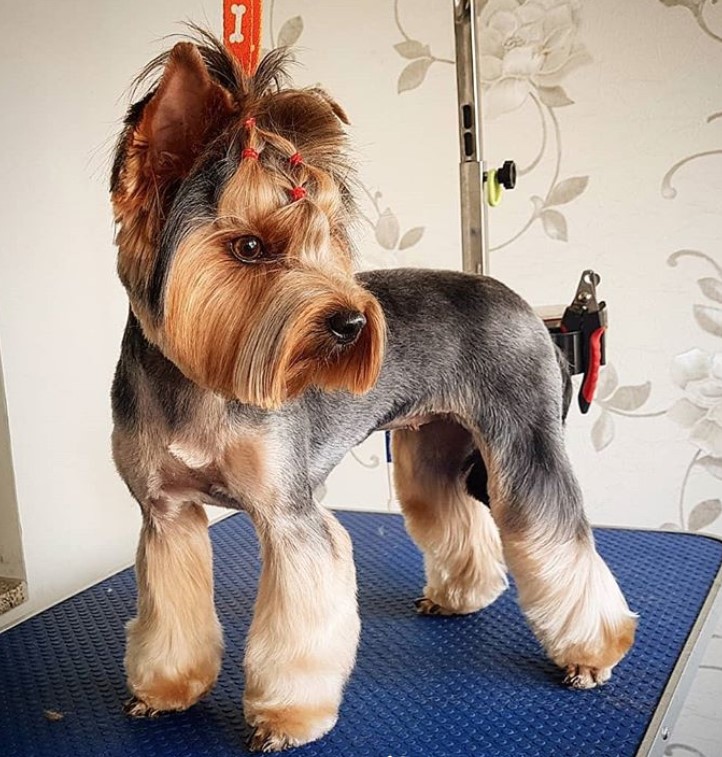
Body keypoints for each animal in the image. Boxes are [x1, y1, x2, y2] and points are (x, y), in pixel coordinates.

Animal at [109, 34, 632, 752]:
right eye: (249, 247)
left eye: (328, 236)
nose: (352, 323)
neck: (199, 381)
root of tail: (527, 309)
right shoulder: (166, 516)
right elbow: (170, 609)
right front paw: (165, 689)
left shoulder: (291, 516)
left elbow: (300, 619)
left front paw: (285, 719)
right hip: (433, 443)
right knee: (451, 509)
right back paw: (462, 594)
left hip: (523, 441)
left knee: (557, 534)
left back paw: (593, 651)